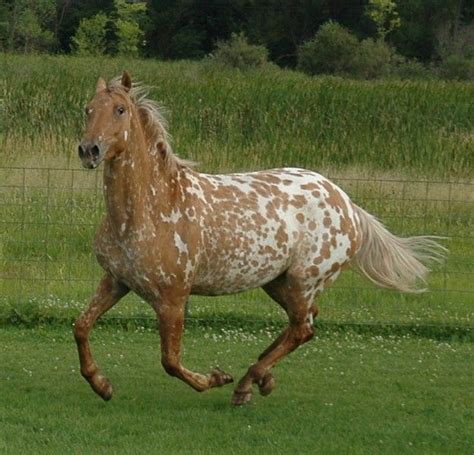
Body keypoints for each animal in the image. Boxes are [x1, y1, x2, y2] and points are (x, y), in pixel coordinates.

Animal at [73, 71, 444, 406]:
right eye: (88, 108)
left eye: (120, 109)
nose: (89, 150)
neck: (151, 209)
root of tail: (347, 204)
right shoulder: (116, 281)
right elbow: (81, 326)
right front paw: (101, 385)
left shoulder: (173, 297)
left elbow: (171, 361)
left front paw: (216, 378)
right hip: (279, 282)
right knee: (305, 324)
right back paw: (261, 379)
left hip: (302, 281)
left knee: (302, 328)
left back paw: (246, 383)